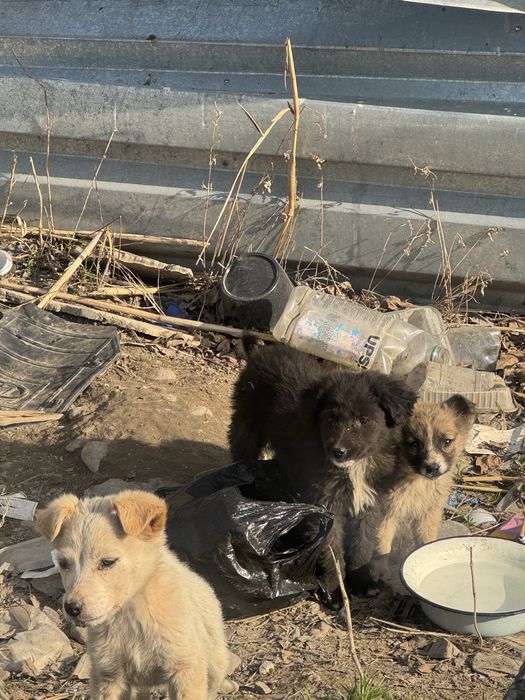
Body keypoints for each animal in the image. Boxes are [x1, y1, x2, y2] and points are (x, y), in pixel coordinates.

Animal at [36, 490, 229, 700]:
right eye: (63, 564)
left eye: (108, 562)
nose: (72, 608)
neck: (130, 616)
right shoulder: (108, 676)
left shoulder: (185, 668)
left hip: (215, 664)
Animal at [228, 336, 417, 597]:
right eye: (330, 418)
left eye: (364, 420)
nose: (338, 450)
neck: (354, 468)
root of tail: (261, 351)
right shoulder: (327, 505)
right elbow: (331, 552)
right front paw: (336, 590)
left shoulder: (370, 502)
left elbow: (363, 544)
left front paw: (361, 581)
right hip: (246, 427)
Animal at [346, 394, 476, 593]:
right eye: (414, 443)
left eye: (447, 441)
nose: (432, 468)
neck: (417, 481)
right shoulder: (385, 512)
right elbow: (381, 544)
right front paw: (379, 572)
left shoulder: (428, 512)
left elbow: (426, 540)